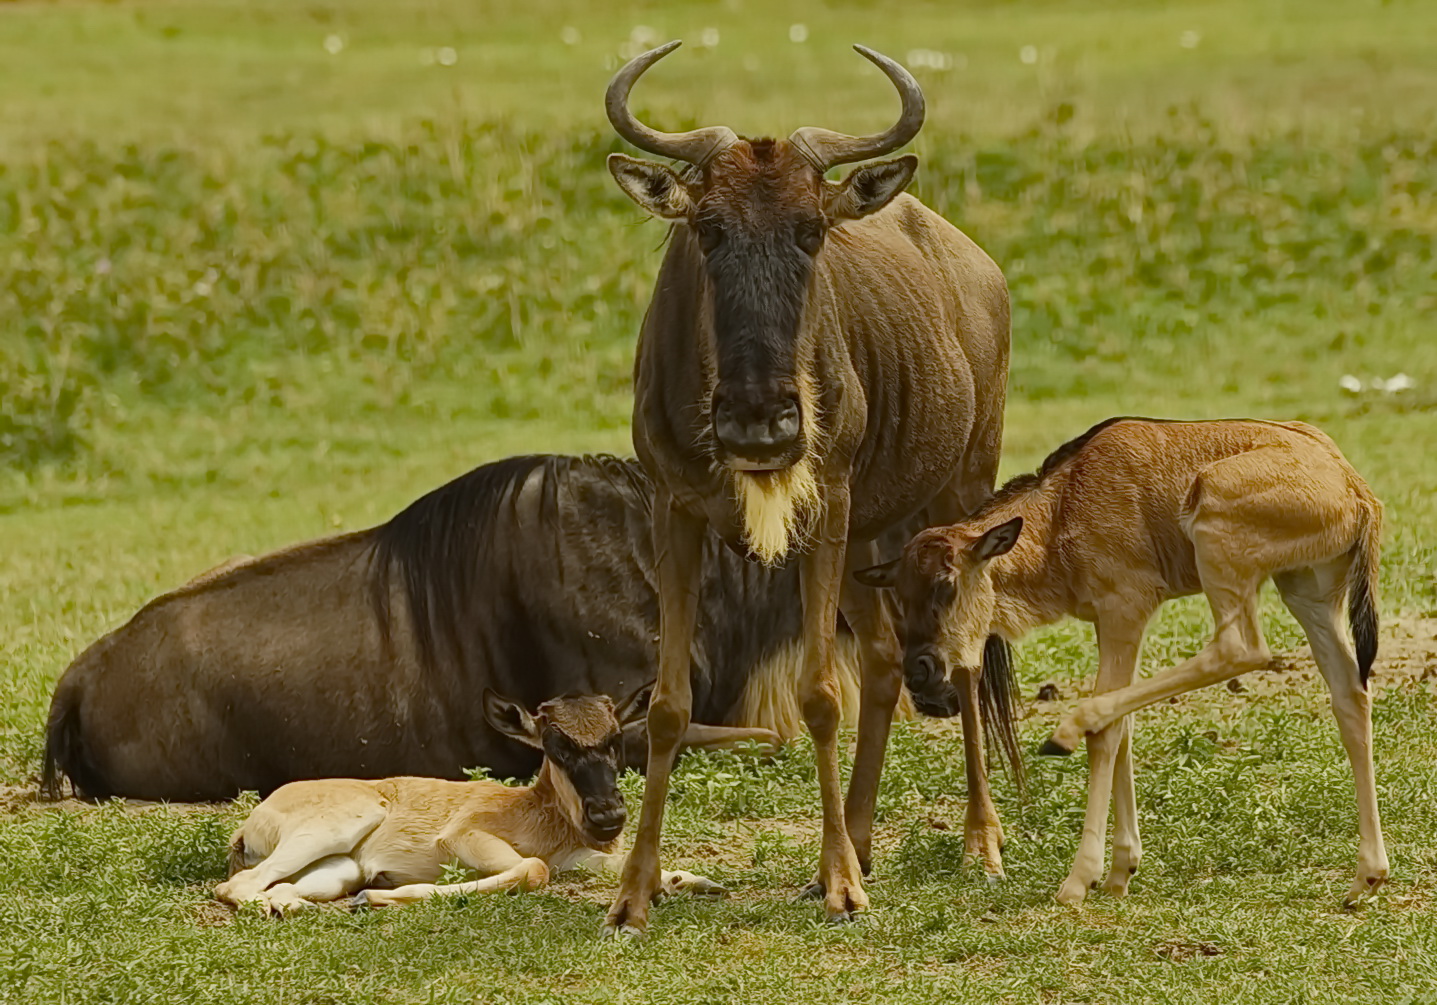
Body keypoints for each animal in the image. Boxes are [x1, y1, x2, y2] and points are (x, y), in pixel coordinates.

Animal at [215, 687, 718, 914]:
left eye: (615, 739)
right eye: (557, 745)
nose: (608, 816)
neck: (536, 810)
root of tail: (249, 823)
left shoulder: (574, 856)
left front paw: (691, 881)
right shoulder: (463, 836)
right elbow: (532, 870)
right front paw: (380, 896)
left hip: (336, 868)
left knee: (275, 888)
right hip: (336, 828)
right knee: (235, 886)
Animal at [600, 41, 1017, 937]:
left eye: (811, 230)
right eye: (708, 229)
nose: (761, 421)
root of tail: (977, 266)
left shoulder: (825, 502)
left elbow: (823, 694)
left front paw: (840, 889)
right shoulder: (675, 511)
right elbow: (667, 705)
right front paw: (635, 890)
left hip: (960, 492)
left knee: (964, 659)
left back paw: (979, 841)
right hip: (868, 538)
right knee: (889, 661)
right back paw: (857, 841)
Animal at [856, 419, 1385, 908]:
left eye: (946, 584)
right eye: (899, 594)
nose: (920, 672)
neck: (1061, 509)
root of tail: (1354, 487)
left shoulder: (1124, 609)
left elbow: (1108, 730)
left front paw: (1080, 878)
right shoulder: (1109, 623)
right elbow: (1122, 723)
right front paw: (1119, 871)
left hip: (1218, 535)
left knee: (1240, 648)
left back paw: (1066, 732)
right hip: (1307, 590)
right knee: (1350, 695)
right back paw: (1367, 876)